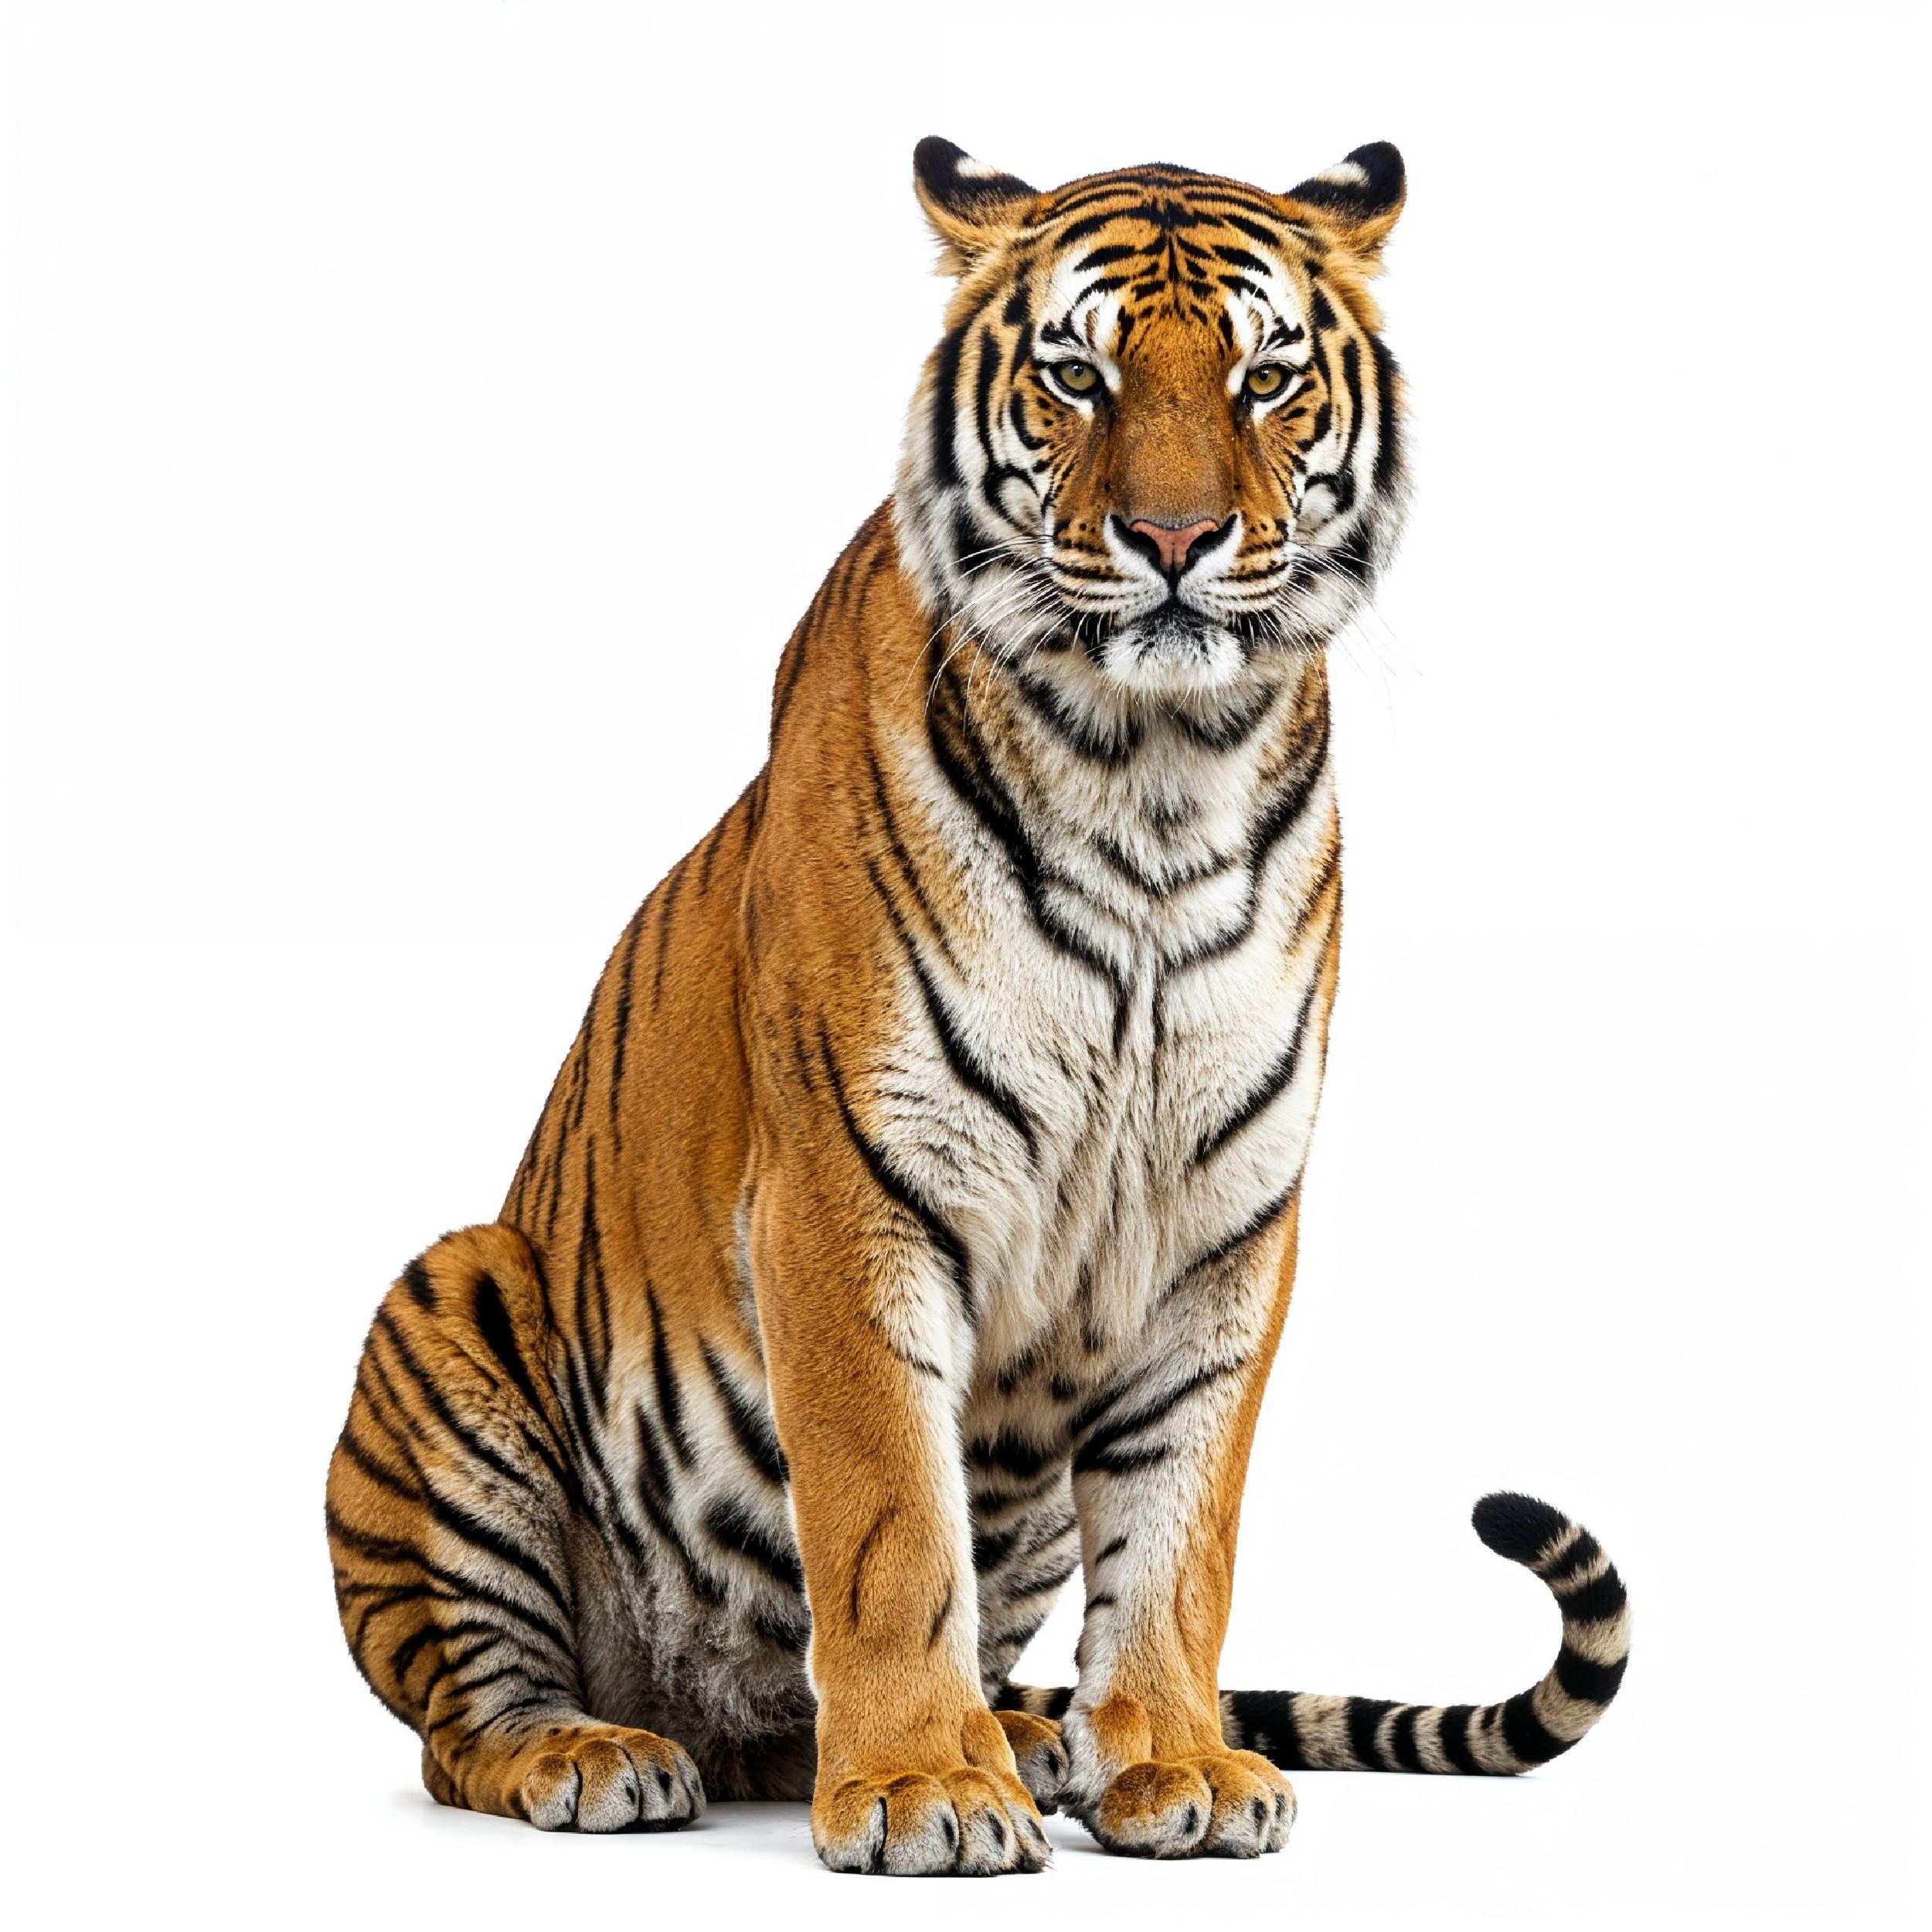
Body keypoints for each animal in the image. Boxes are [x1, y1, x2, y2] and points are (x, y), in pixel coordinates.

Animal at [326, 136, 1632, 1875]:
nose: (1172, 536)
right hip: (455, 1295)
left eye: (1266, 377)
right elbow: (886, 1515)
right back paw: (600, 1753)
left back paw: (1026, 1735)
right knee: (459, 1719)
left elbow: (1180, 1525)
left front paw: (1170, 1762)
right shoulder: (851, 1189)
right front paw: (916, 1789)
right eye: (1078, 378)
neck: (1159, 777)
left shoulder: (1224, 1221)